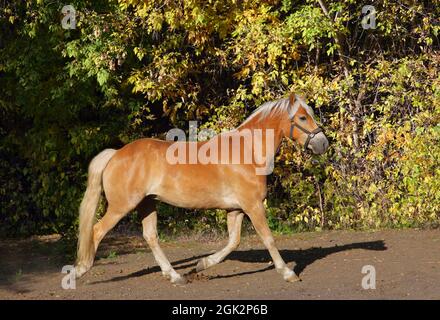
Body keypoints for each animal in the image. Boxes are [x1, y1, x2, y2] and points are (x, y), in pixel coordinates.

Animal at [75, 94, 328, 284]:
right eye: (303, 117)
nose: (323, 143)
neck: (247, 152)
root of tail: (116, 154)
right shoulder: (253, 206)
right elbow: (268, 238)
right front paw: (288, 273)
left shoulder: (235, 210)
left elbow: (233, 241)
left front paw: (201, 265)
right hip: (122, 206)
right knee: (96, 231)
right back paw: (81, 270)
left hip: (147, 203)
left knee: (150, 236)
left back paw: (175, 276)